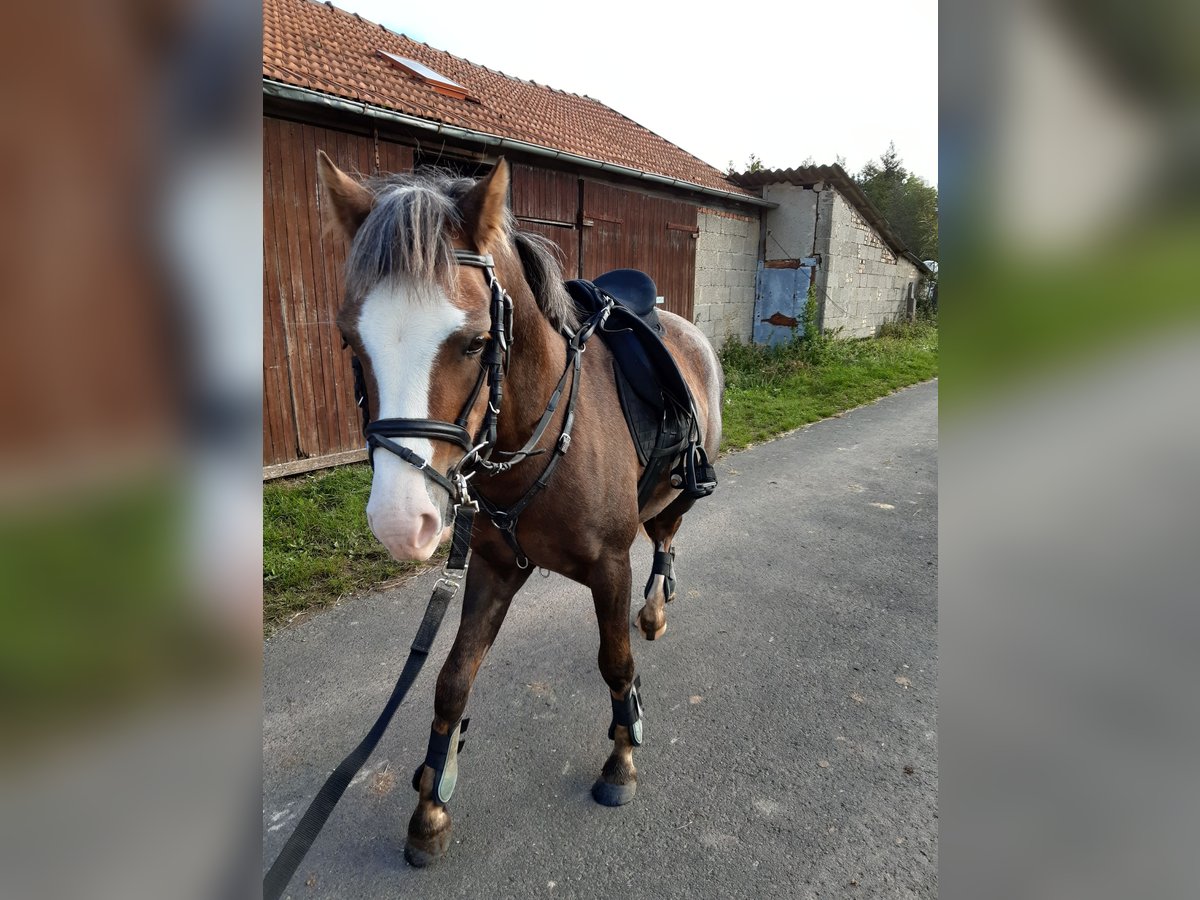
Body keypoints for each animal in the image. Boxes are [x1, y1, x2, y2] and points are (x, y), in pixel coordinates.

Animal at [316, 153, 723, 866]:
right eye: (349, 341)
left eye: (476, 342)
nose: (401, 521)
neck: (538, 433)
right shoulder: (493, 568)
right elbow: (452, 680)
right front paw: (431, 802)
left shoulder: (610, 566)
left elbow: (615, 662)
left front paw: (621, 756)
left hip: (675, 494)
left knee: (666, 539)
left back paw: (653, 610)